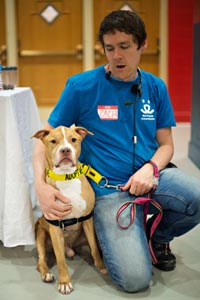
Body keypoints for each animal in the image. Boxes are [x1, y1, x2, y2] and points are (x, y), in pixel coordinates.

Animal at [32, 125, 106, 294]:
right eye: (53, 141)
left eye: (73, 139)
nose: (65, 150)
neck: (66, 177)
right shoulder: (55, 227)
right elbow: (60, 260)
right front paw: (65, 282)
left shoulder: (88, 219)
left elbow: (94, 248)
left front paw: (102, 267)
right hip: (40, 232)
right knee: (41, 261)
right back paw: (47, 273)